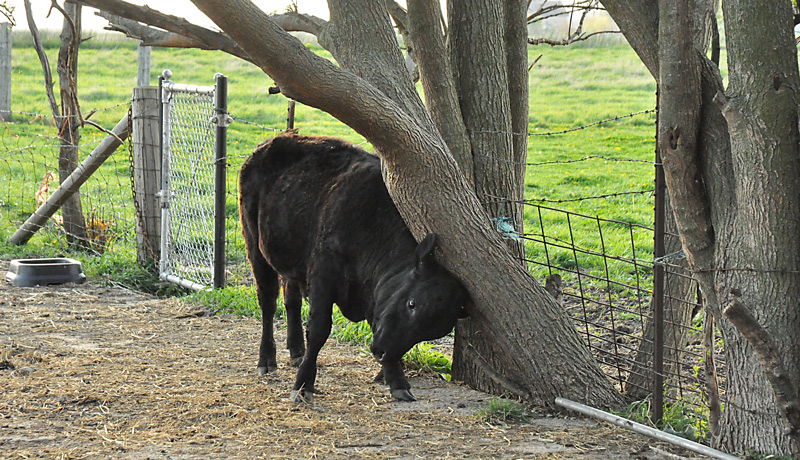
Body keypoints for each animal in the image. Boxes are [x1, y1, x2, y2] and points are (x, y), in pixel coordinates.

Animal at [239, 133, 470, 403]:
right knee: (268, 302)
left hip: (291, 261)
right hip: (255, 247)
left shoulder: (373, 296)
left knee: (291, 299)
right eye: (412, 304)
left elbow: (376, 324)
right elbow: (319, 329)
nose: (382, 352)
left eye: (431, 331)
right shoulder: (323, 274)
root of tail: (271, 142)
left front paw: (397, 381)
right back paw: (266, 359)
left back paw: (296, 351)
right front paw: (303, 385)